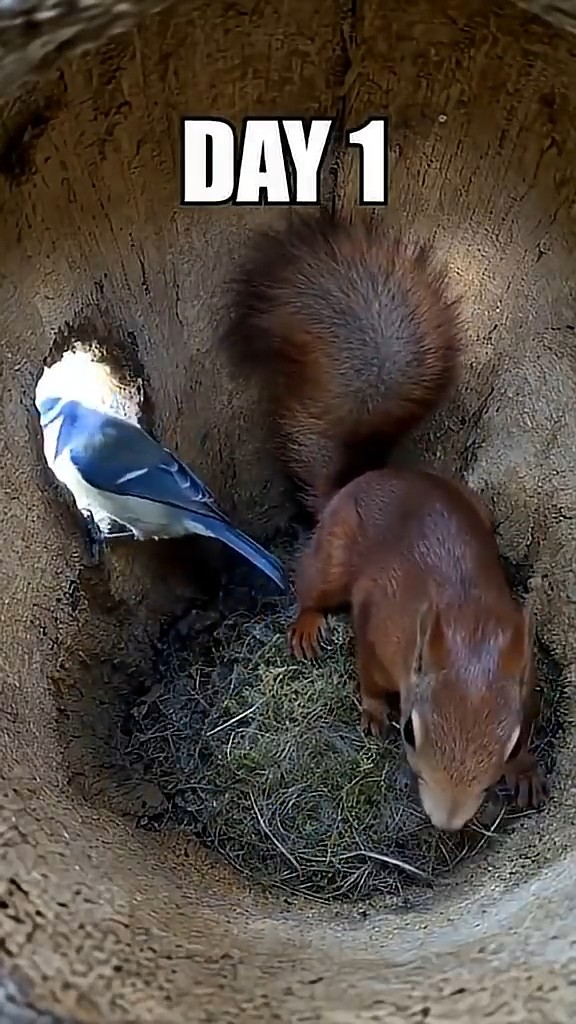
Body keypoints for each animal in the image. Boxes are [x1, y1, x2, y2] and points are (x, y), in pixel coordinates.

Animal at [221, 211, 547, 832]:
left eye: (508, 741)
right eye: (409, 732)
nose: (446, 822)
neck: (466, 625)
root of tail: (360, 478)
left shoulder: (526, 676)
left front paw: (527, 771)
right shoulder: (377, 622)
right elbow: (368, 672)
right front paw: (372, 711)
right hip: (333, 554)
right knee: (311, 586)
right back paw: (307, 624)